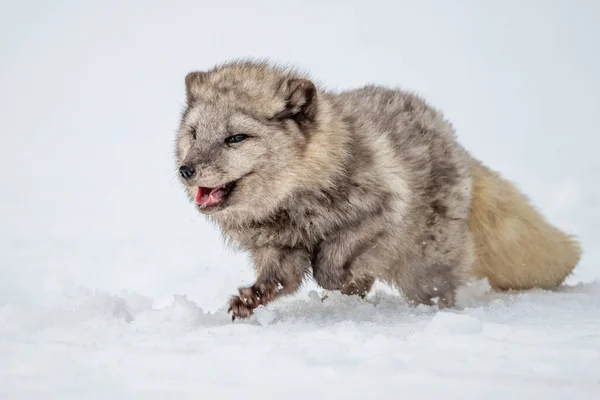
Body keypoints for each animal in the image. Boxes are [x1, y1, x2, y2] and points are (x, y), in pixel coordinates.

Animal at [173, 61, 580, 320]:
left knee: (437, 293)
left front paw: (342, 279)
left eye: (236, 138)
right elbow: (278, 282)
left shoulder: (382, 209)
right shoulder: (277, 250)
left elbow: (330, 263)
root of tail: (455, 143)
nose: (185, 170)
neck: (293, 204)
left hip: (424, 272)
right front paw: (248, 300)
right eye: (194, 134)